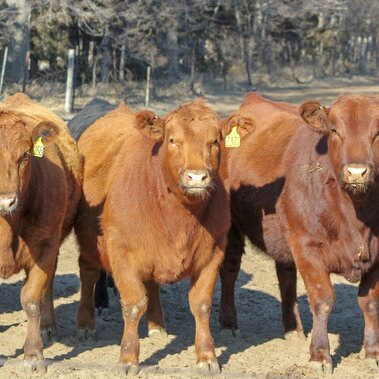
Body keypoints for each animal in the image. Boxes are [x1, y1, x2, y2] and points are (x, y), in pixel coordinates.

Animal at [0, 92, 82, 372]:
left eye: (25, 155)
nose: (6, 201)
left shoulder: (44, 248)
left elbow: (32, 299)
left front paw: (34, 355)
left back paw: (48, 327)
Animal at [73, 99, 230, 376]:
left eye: (214, 141)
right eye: (173, 140)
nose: (197, 177)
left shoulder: (213, 253)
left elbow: (201, 305)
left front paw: (207, 357)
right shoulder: (122, 253)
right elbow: (133, 304)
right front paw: (128, 358)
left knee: (152, 283)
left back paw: (157, 326)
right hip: (90, 243)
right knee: (89, 274)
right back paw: (86, 323)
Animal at [220, 93, 379, 374]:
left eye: (378, 132)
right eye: (334, 130)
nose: (357, 172)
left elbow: (369, 303)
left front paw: (371, 354)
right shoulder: (308, 246)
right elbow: (322, 300)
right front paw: (320, 356)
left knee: (285, 275)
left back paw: (293, 328)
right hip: (233, 228)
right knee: (230, 270)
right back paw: (229, 324)